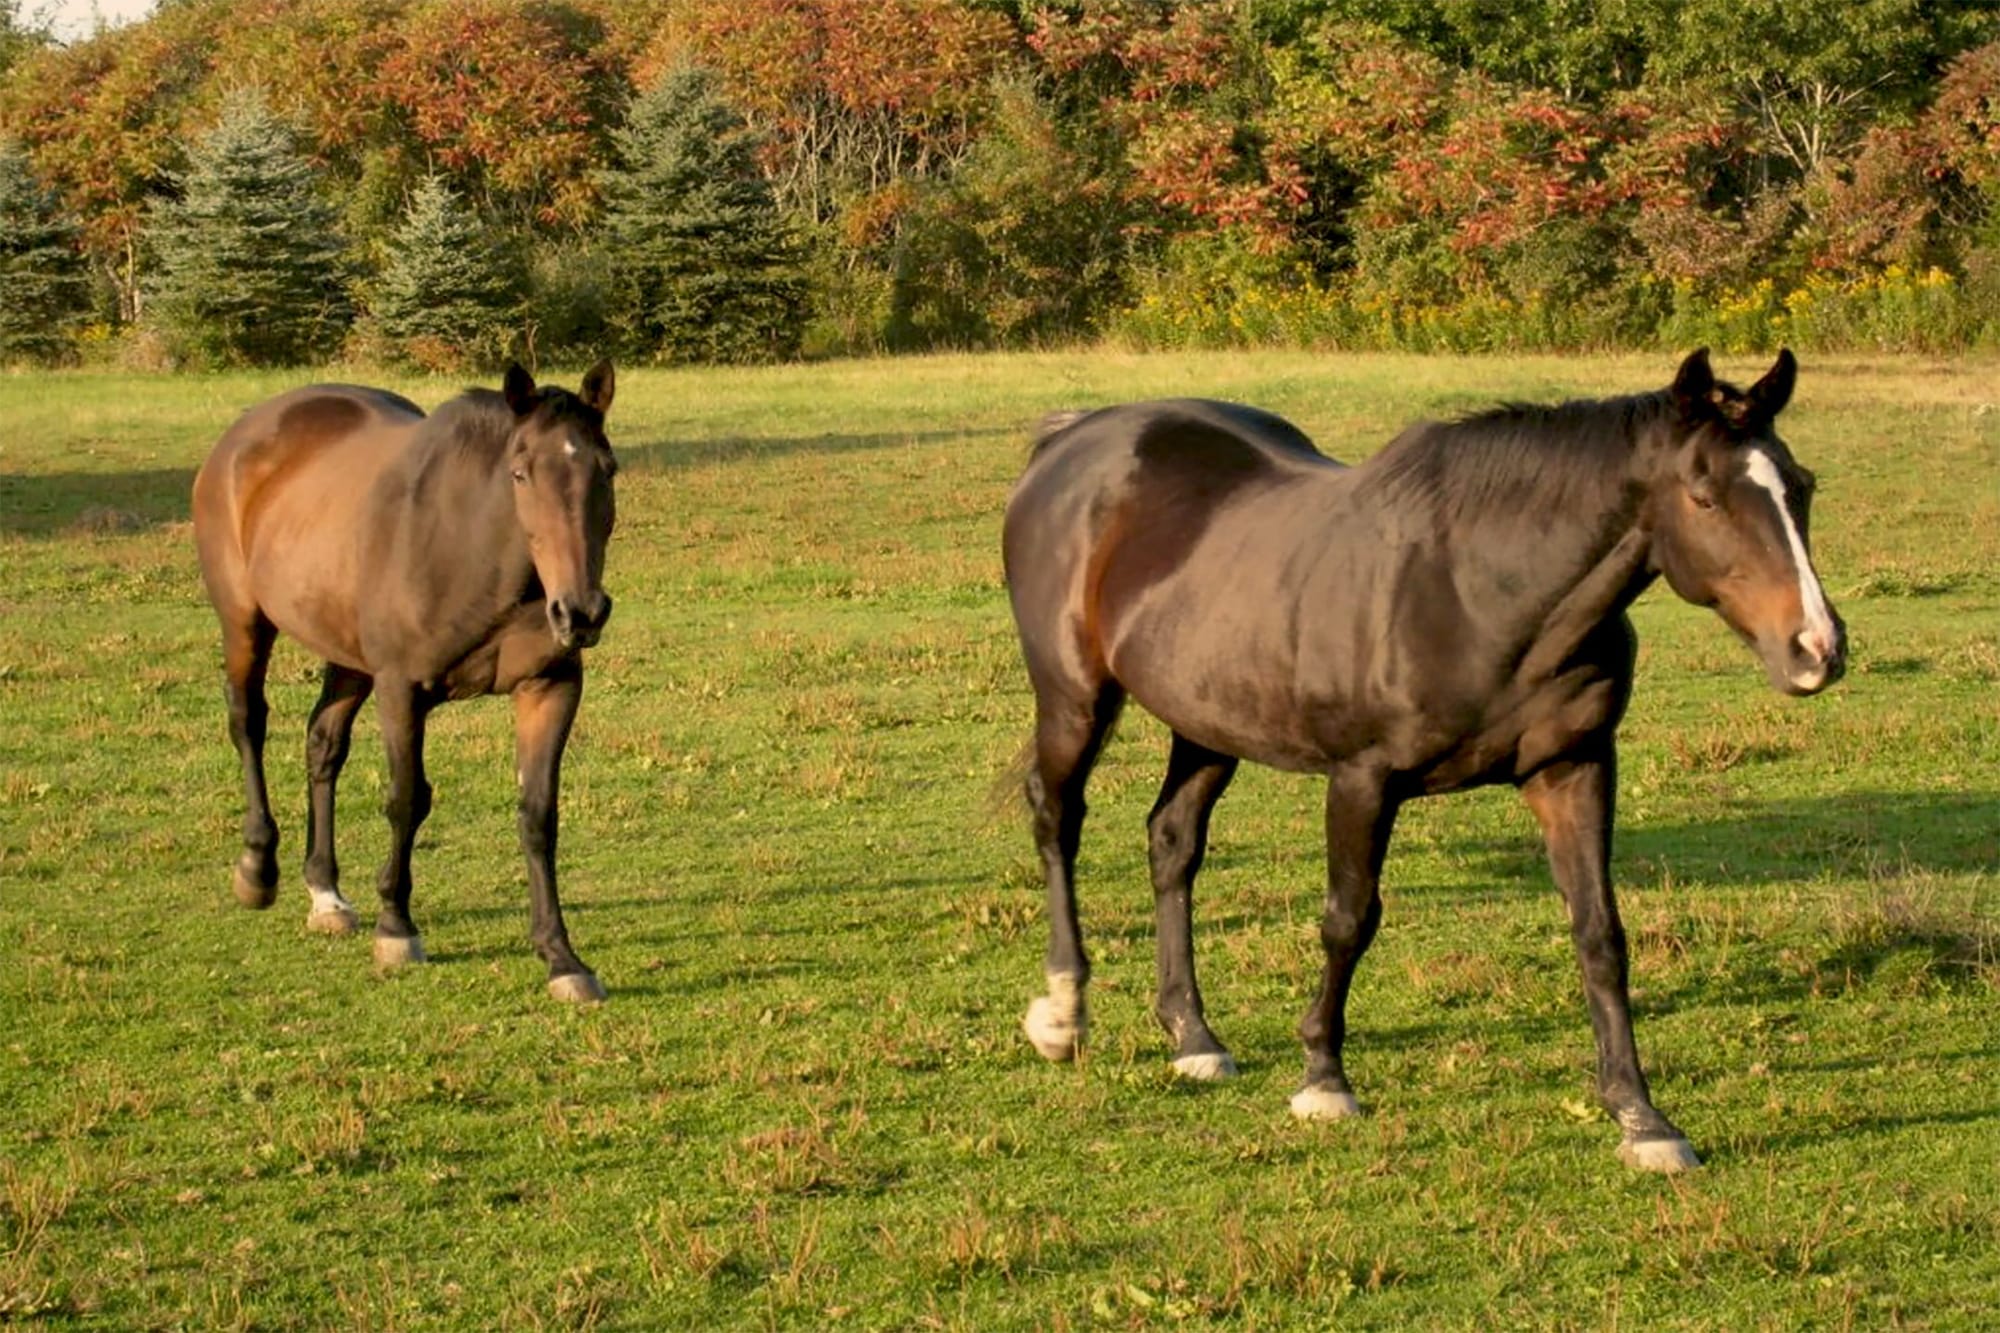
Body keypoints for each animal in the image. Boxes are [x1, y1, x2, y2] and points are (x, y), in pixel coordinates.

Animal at [192, 363, 620, 1002]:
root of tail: (244, 433)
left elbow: (539, 815)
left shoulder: (551, 687)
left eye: (606, 470)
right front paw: (396, 929)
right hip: (245, 621)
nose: (581, 612)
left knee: (323, 745)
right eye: (521, 472)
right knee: (248, 723)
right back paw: (257, 868)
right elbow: (406, 799)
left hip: (347, 655)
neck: (471, 552)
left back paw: (326, 894)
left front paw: (562, 958)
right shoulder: (400, 690)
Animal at [1001, 349, 1844, 1171]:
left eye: (1800, 486)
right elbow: (1348, 919)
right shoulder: (1363, 779)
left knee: (1172, 843)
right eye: (1704, 497)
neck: (1477, 590)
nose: (1817, 648)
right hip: (1074, 698)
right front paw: (1324, 1078)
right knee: (1058, 819)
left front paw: (1642, 1117)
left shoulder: (1573, 769)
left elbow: (1600, 935)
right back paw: (1063, 1010)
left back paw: (1193, 1035)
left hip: (1206, 719)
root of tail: (1073, 440)